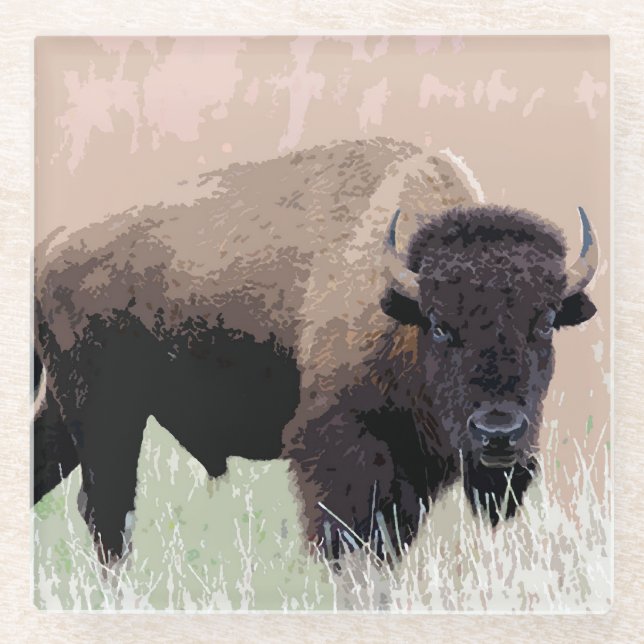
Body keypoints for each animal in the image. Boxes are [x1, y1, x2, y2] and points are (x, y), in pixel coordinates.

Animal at [34, 138, 598, 562]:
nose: (498, 432)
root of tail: (52, 246)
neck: (399, 299)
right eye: (439, 326)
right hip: (105, 415)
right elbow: (348, 542)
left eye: (546, 322)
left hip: (69, 409)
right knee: (107, 513)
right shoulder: (343, 454)